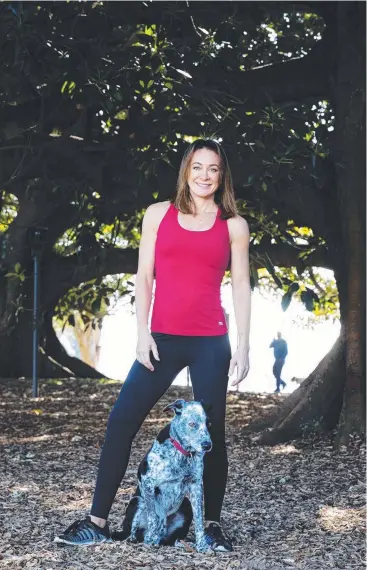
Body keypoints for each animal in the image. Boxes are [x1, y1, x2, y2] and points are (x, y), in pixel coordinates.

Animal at [113, 398, 214, 548]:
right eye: (192, 424)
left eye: (209, 424)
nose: (207, 445)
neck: (181, 453)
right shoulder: (147, 483)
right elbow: (153, 517)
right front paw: (150, 539)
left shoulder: (196, 485)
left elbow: (199, 520)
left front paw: (202, 545)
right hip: (137, 501)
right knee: (134, 533)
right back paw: (144, 538)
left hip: (185, 505)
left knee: (170, 538)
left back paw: (176, 542)